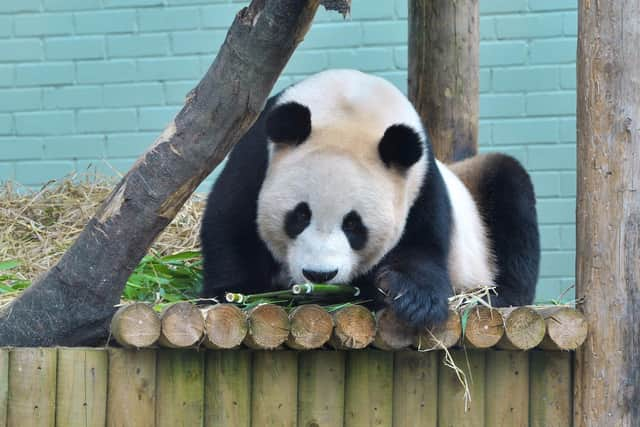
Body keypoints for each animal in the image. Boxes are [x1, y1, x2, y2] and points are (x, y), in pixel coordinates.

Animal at [200, 68, 540, 328]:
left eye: (354, 225)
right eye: (299, 215)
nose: (319, 275)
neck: (351, 105)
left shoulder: (419, 181)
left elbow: (423, 245)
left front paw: (409, 297)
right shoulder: (256, 156)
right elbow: (231, 223)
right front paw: (237, 292)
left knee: (512, 193)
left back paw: (500, 295)